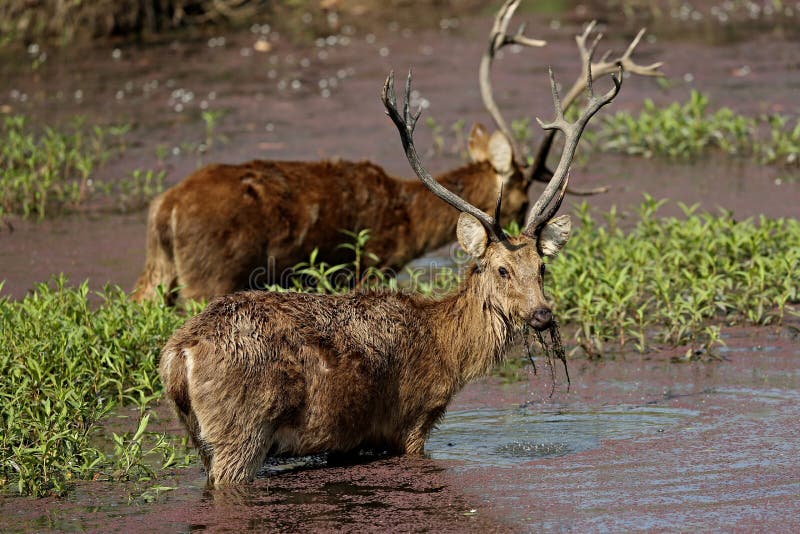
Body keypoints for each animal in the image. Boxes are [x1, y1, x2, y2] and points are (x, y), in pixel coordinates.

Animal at [130, 0, 656, 306]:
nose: (519, 230)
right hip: (210, 274)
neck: (407, 222)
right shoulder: (366, 266)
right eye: (522, 197)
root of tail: (164, 210)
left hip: (158, 272)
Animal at [156, 54, 620, 486]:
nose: (542, 314)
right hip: (243, 429)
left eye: (542, 267)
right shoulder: (411, 420)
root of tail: (180, 354)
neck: (445, 348)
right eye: (501, 269)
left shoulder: (347, 442)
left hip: (202, 437)